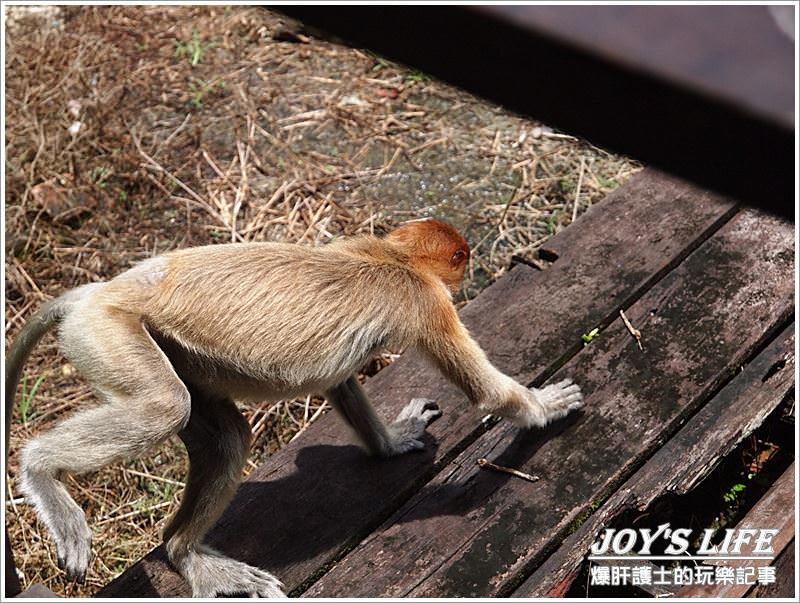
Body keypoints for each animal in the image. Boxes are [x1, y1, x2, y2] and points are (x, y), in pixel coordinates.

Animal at [4, 221, 580, 600]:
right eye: (462, 258)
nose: (470, 268)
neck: (389, 255)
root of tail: (100, 289)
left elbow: (341, 382)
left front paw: (392, 442)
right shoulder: (426, 302)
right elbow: (487, 391)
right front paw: (548, 404)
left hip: (166, 351)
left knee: (228, 437)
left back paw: (182, 550)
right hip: (107, 331)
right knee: (166, 407)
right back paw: (41, 471)